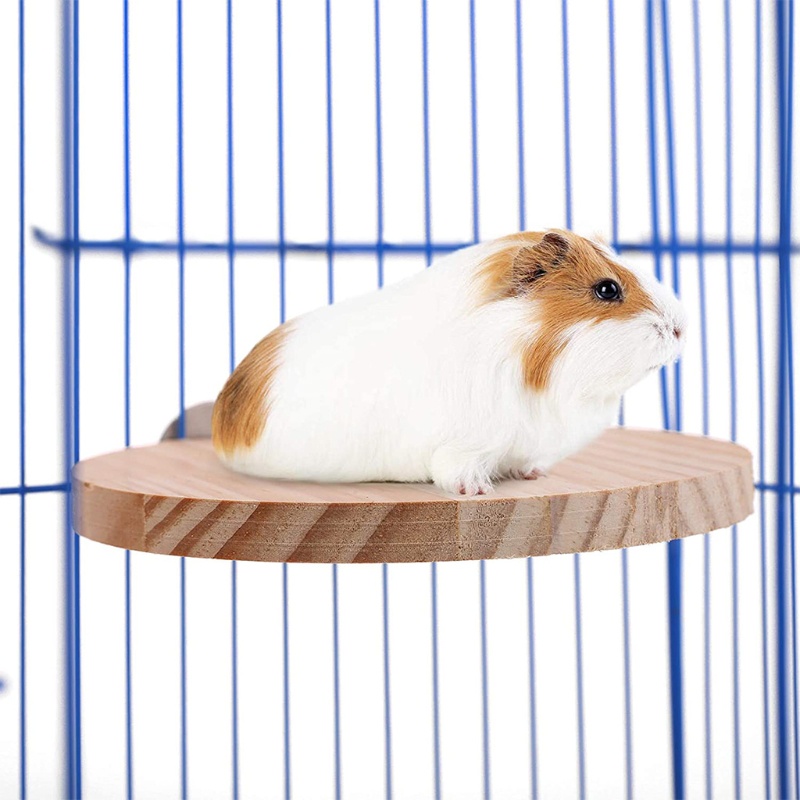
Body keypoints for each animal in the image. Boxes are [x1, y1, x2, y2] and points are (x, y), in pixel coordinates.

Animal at [210, 229, 686, 496]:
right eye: (607, 289)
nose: (680, 327)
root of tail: (223, 425)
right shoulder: (464, 446)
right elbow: (454, 469)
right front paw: (476, 492)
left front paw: (531, 475)